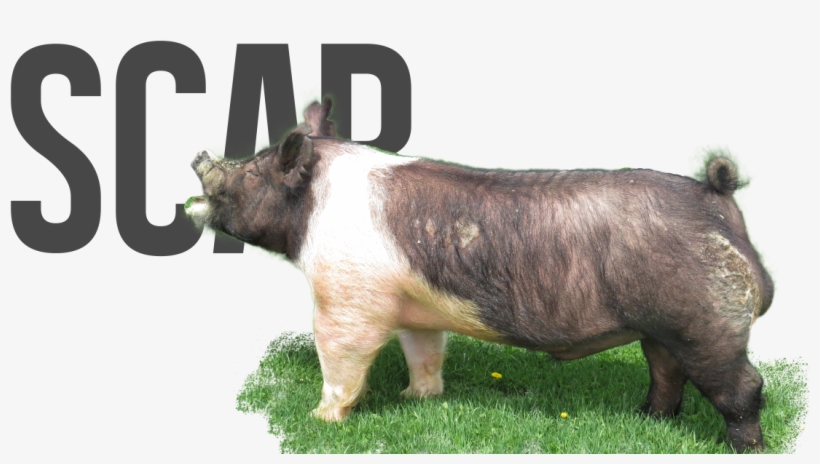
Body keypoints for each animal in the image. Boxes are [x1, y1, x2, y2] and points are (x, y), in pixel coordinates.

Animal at [186, 99, 774, 453]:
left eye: (247, 173)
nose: (199, 156)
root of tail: (715, 196)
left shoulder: (346, 294)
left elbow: (340, 353)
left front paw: (319, 419)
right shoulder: (414, 305)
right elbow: (423, 349)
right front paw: (415, 399)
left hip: (706, 322)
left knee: (742, 385)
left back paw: (743, 448)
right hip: (663, 328)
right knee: (667, 373)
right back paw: (647, 420)